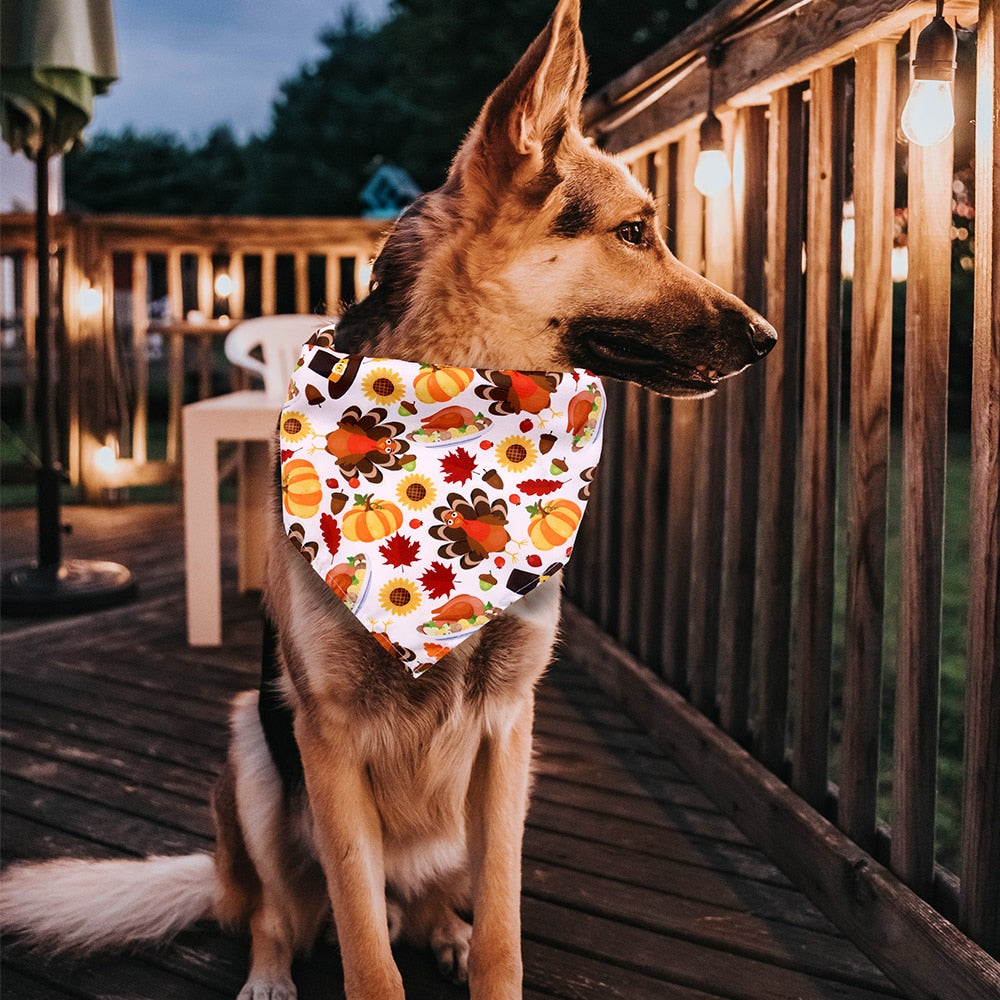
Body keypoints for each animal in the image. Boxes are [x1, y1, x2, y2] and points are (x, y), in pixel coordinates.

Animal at [0, 3, 776, 996]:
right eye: (636, 232)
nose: (768, 338)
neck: (457, 411)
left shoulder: (509, 729)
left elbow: (503, 932)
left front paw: (480, 953)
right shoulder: (325, 740)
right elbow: (367, 950)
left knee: (433, 899)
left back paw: (442, 926)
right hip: (252, 754)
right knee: (276, 913)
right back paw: (270, 972)